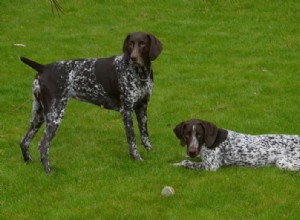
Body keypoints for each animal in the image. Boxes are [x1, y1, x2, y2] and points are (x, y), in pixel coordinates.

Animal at [19, 31, 163, 173]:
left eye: (143, 43)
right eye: (130, 44)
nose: (133, 57)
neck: (140, 75)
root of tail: (43, 68)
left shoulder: (142, 107)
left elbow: (145, 135)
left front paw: (151, 152)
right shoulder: (126, 111)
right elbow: (132, 139)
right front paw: (137, 158)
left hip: (39, 115)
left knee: (24, 141)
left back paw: (28, 162)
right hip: (55, 115)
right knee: (42, 145)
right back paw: (48, 171)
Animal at [172, 119, 300, 171]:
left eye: (199, 135)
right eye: (187, 135)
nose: (192, 151)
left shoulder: (210, 166)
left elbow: (186, 162)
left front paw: (176, 164)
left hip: (282, 162)